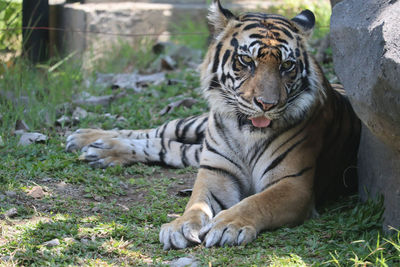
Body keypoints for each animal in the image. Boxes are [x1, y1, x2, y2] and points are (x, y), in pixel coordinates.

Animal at [65, 0, 360, 250]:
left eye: (287, 65)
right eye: (246, 60)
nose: (266, 104)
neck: (247, 132)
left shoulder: (294, 185)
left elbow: (256, 202)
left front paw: (229, 225)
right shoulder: (216, 172)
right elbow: (196, 204)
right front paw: (179, 226)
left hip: (196, 151)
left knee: (165, 146)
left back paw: (101, 150)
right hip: (195, 129)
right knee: (159, 131)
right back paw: (88, 139)